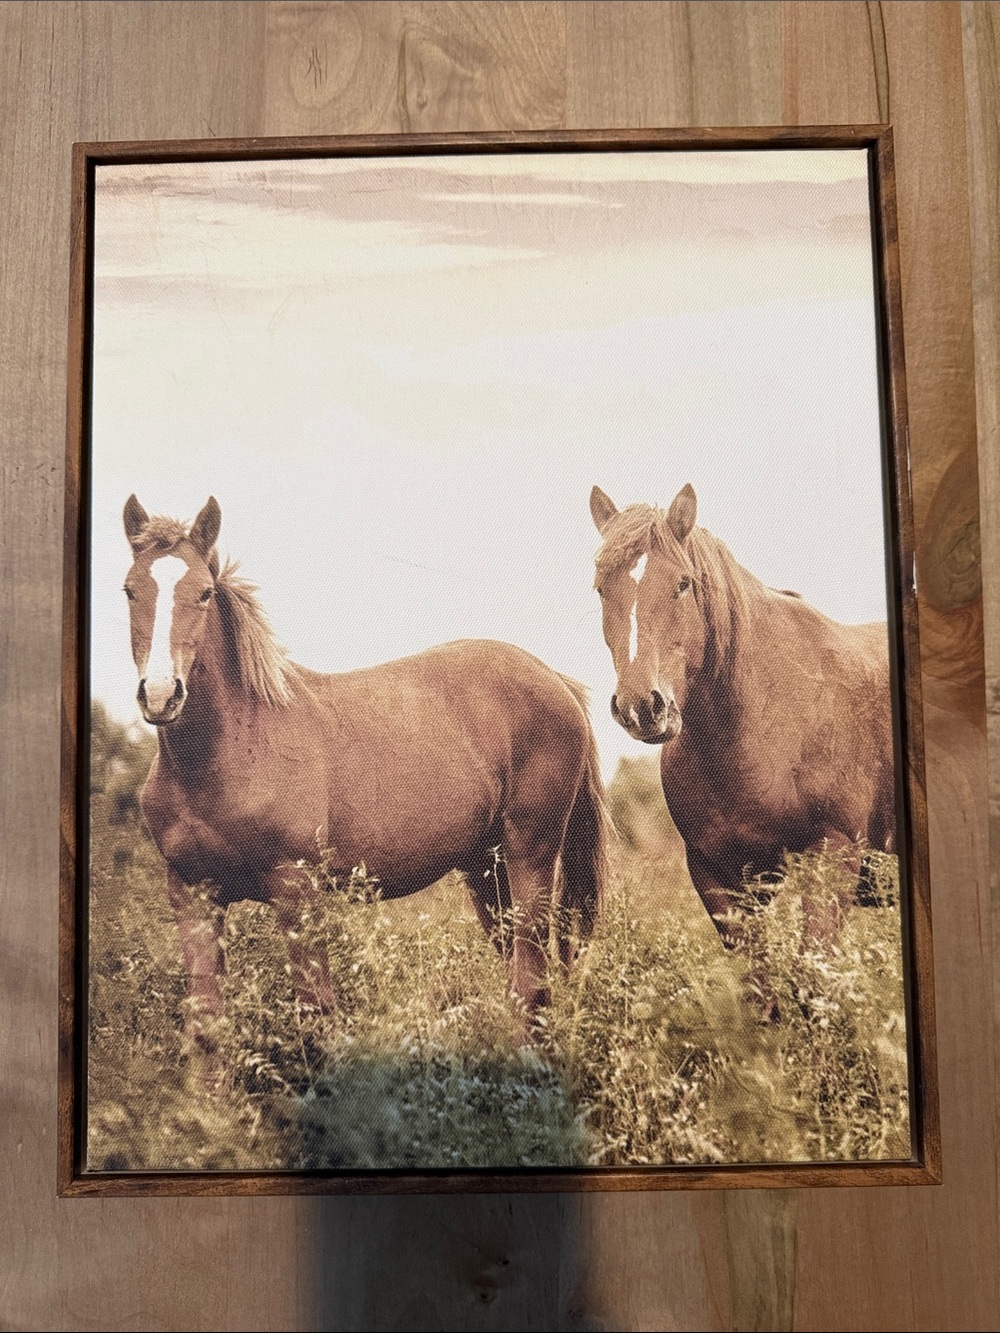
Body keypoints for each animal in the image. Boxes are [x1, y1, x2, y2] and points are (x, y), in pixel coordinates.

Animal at [118, 494, 608, 1050]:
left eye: (202, 592)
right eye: (130, 589)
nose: (161, 695)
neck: (224, 756)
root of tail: (557, 680)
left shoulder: (297, 894)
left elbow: (316, 1014)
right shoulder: (193, 899)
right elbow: (206, 1026)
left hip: (530, 860)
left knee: (533, 980)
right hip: (486, 871)